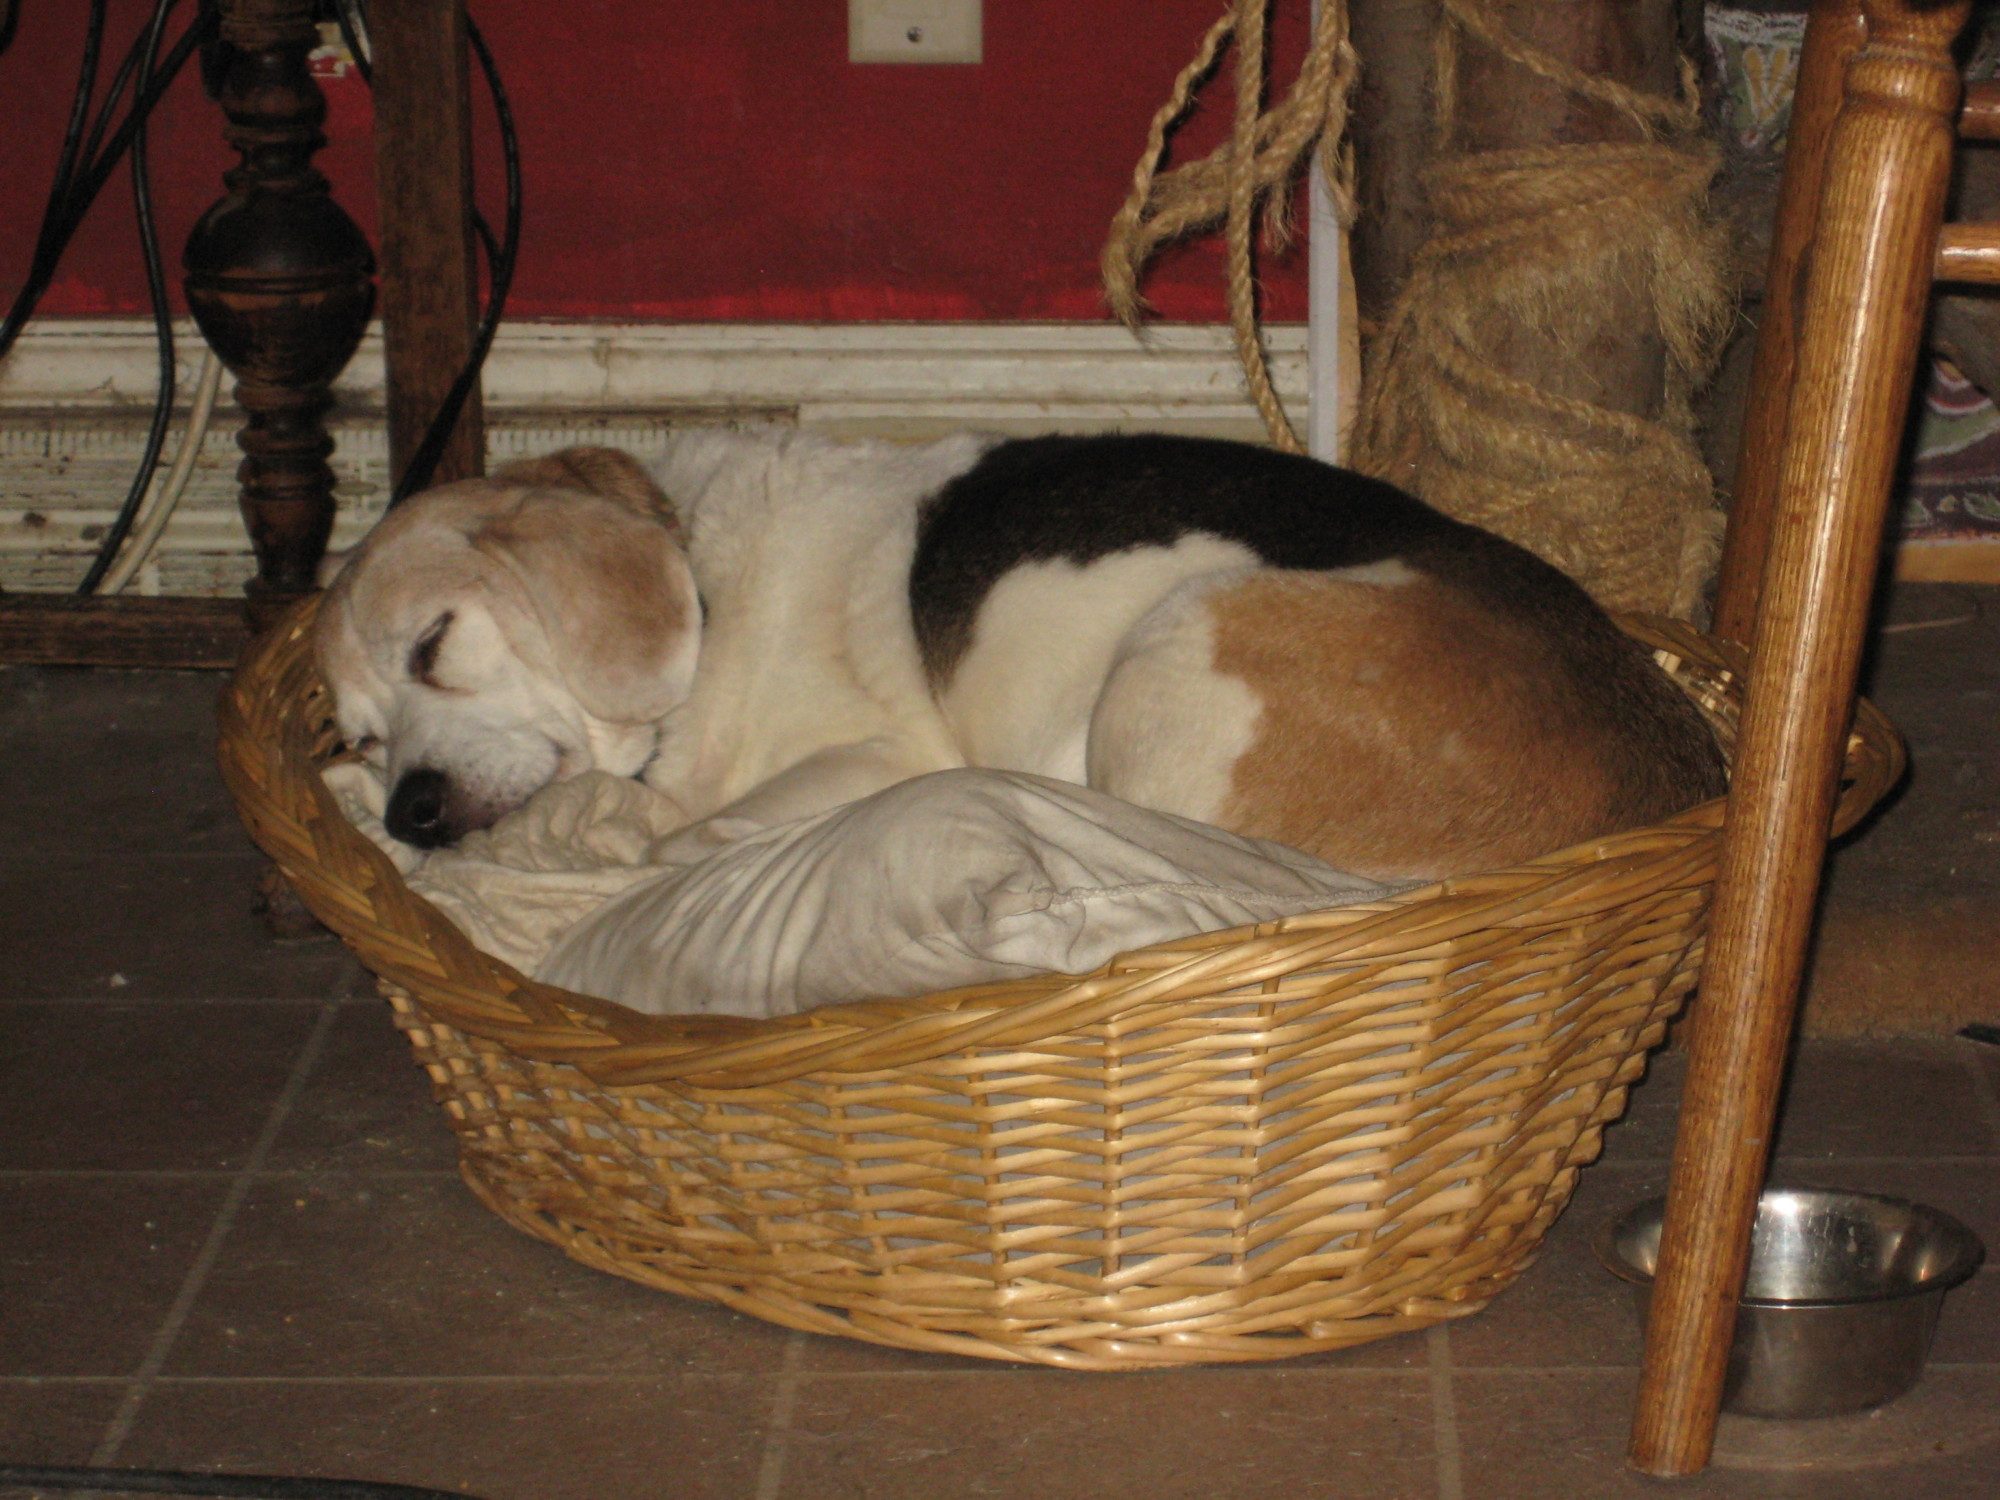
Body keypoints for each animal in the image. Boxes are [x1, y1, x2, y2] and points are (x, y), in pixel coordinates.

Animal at [314, 430, 1725, 883]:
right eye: (360, 739)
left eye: (436, 643)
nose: (413, 810)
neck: (706, 590)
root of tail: (1671, 779)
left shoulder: (880, 754)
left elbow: (684, 830)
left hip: (1177, 643)